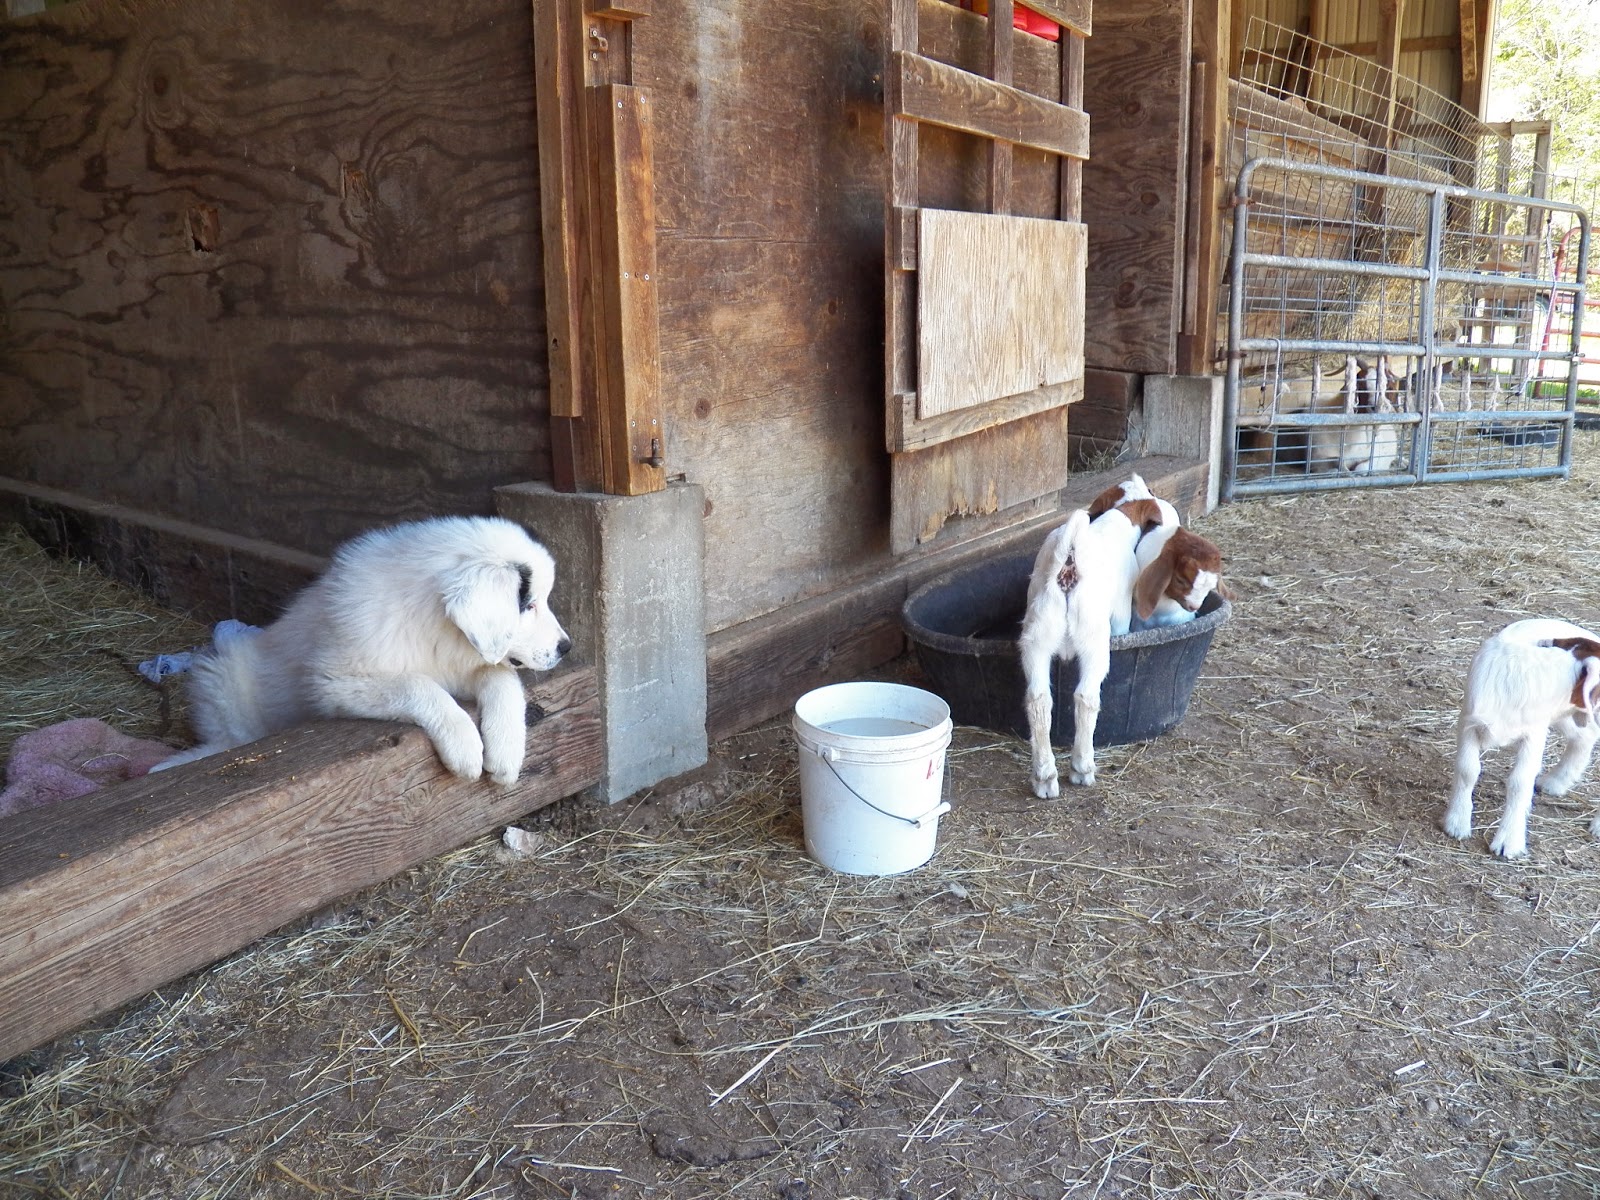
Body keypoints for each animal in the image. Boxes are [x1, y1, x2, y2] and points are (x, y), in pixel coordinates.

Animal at [153, 516, 571, 784]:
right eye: (529, 604)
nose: (566, 648)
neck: (430, 629)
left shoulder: (462, 664)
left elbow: (501, 677)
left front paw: (506, 749)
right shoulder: (335, 684)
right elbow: (418, 685)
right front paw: (464, 744)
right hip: (222, 679)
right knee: (228, 740)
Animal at [1019, 476, 1168, 797]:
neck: (1118, 518)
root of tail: (1068, 565)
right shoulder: (1122, 613)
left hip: (1036, 639)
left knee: (1038, 700)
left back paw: (1045, 777)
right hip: (1093, 644)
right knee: (1086, 697)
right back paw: (1081, 767)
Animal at [1442, 618, 1600, 859]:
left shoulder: (1534, 734)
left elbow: (1520, 781)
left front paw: (1508, 841)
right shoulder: (1468, 721)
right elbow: (1467, 769)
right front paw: (1457, 823)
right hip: (1567, 716)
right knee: (1585, 736)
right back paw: (1556, 782)